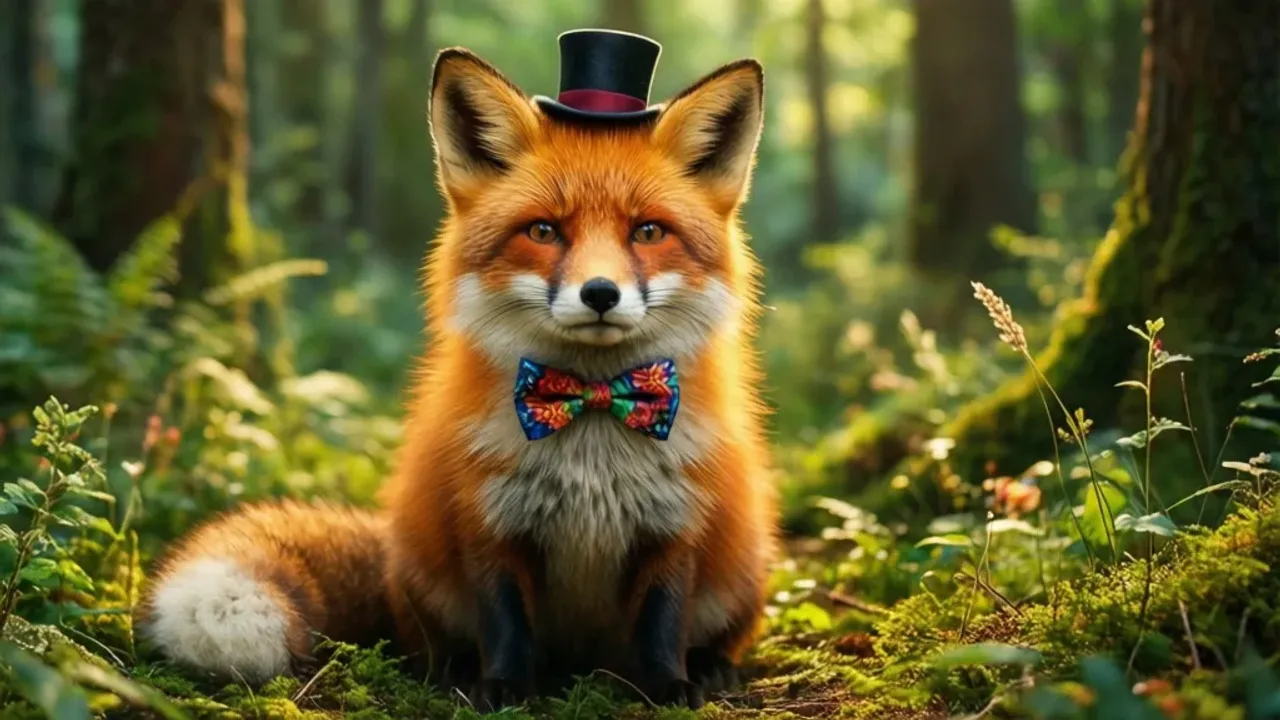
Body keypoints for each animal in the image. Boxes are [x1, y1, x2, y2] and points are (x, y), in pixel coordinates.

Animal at [138, 38, 777, 712]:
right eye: (544, 230)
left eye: (648, 231)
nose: (600, 293)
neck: (592, 409)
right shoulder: (485, 522)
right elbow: (504, 620)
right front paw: (501, 688)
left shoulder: (678, 525)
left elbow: (663, 620)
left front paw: (668, 687)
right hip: (424, 571)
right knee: (430, 642)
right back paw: (456, 670)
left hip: (746, 567)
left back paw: (710, 666)